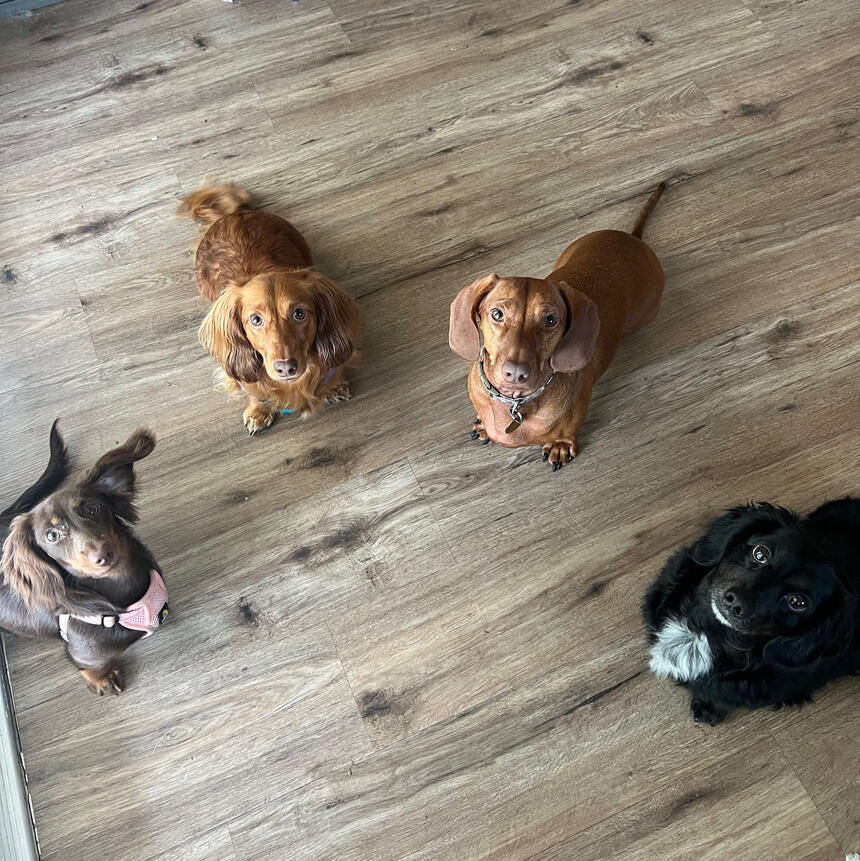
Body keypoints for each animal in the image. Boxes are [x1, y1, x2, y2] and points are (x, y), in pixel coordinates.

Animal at [1, 423, 167, 696]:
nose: (102, 556)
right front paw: (103, 679)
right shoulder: (84, 655)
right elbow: (90, 668)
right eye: (52, 535)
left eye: (92, 508)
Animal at [178, 184, 360, 434]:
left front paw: (334, 386)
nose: (286, 368)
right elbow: (253, 393)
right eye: (256, 320)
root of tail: (234, 214)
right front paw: (258, 411)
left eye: (299, 314)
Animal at [449, 183, 666, 470]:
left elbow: (565, 434)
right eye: (497, 314)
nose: (515, 373)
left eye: (550, 320)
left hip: (646, 312)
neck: (515, 402)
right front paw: (485, 426)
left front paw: (560, 446)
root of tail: (634, 239)